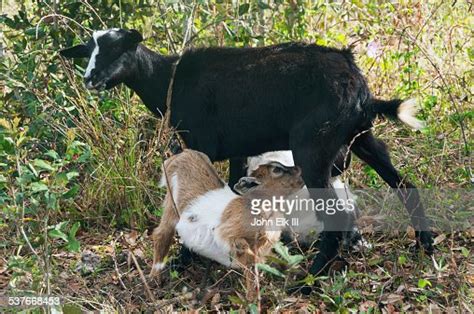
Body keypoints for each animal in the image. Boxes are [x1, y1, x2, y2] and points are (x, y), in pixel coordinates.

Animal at [59, 28, 434, 292]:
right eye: (89, 50)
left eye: (116, 49)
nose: (90, 78)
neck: (169, 80)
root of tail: (361, 90)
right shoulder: (238, 150)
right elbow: (231, 190)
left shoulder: (202, 145)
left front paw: (185, 257)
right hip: (360, 138)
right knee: (405, 184)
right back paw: (425, 248)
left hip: (314, 147)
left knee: (337, 214)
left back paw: (308, 282)